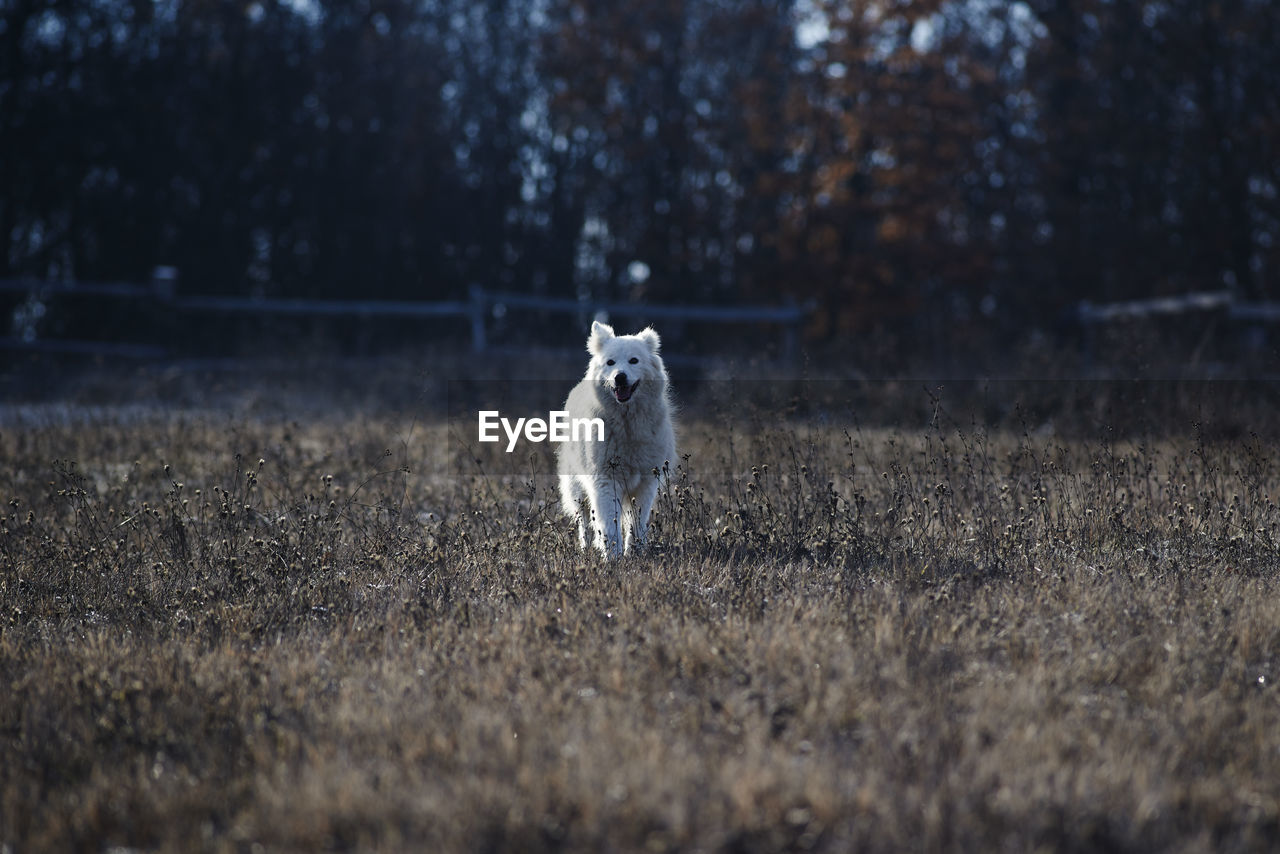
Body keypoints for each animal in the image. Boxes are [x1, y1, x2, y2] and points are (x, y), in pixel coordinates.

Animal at [560, 318, 680, 555]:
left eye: (634, 360)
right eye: (610, 362)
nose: (619, 376)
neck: (626, 424)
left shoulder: (645, 482)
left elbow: (636, 523)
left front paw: (634, 552)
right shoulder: (605, 480)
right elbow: (609, 524)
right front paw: (613, 557)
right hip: (577, 487)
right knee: (584, 521)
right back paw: (586, 549)